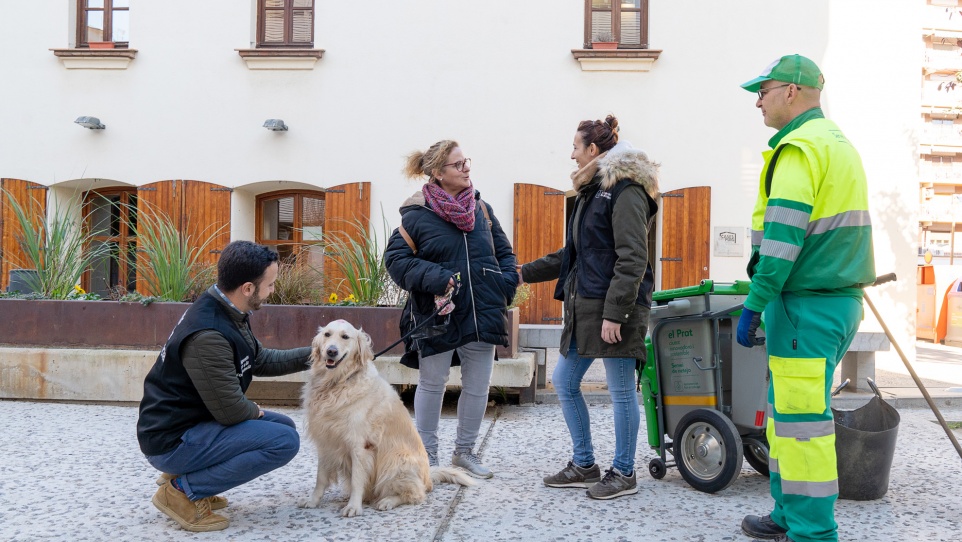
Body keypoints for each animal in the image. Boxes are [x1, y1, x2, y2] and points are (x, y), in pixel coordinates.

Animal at [298, 324, 474, 520]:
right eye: (327, 334)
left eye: (345, 337)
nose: (331, 351)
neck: (337, 383)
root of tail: (428, 476)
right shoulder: (325, 441)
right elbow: (320, 478)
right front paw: (313, 501)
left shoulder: (360, 446)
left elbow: (357, 479)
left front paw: (354, 506)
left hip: (396, 461)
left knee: (416, 494)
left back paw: (387, 500)